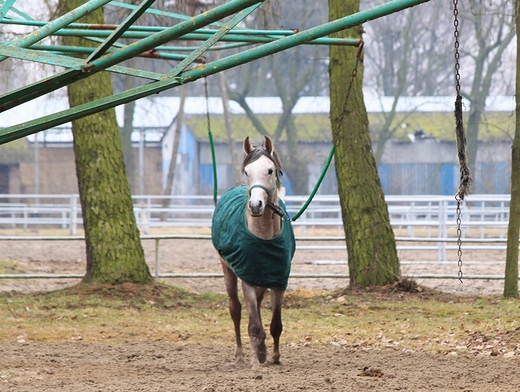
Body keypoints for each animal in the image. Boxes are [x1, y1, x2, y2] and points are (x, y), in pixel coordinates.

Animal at [210, 136, 292, 370]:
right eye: (247, 171)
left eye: (270, 170)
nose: (256, 205)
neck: (263, 235)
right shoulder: (246, 277)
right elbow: (253, 324)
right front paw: (257, 360)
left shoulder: (278, 279)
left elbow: (276, 324)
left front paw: (274, 356)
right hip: (228, 269)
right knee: (236, 310)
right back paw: (240, 355)